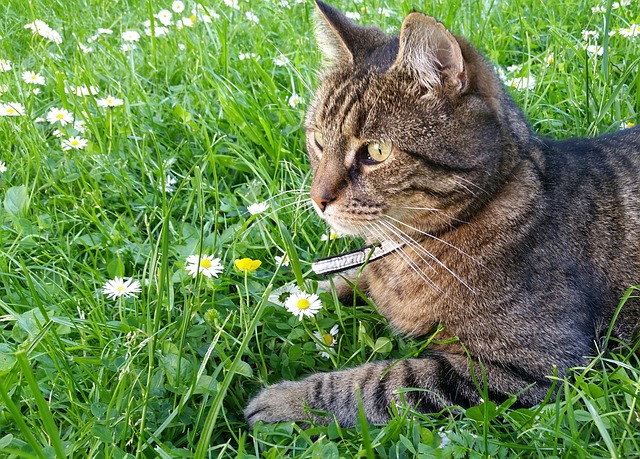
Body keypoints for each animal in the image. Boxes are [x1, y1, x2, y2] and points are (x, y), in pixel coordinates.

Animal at [244, 0, 640, 428]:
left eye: (376, 151)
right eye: (317, 139)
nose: (318, 198)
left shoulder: (530, 366)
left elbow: (380, 381)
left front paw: (290, 400)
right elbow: (340, 281)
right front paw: (274, 299)